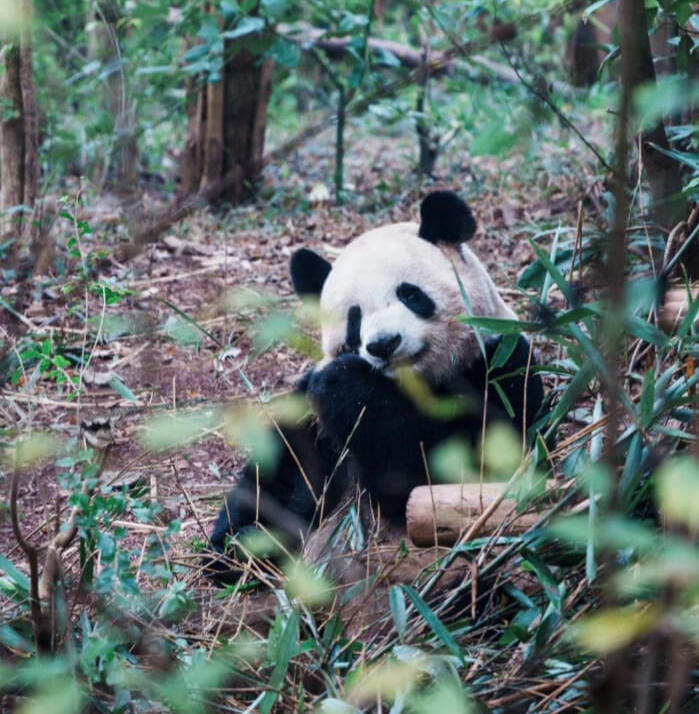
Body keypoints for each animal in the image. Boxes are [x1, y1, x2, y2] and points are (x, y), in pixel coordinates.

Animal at [206, 191, 544, 582]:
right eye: (355, 319)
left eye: (410, 295)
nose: (384, 344)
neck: (411, 385)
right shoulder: (306, 412)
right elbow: (284, 472)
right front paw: (239, 543)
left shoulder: (499, 364)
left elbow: (450, 469)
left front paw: (346, 386)